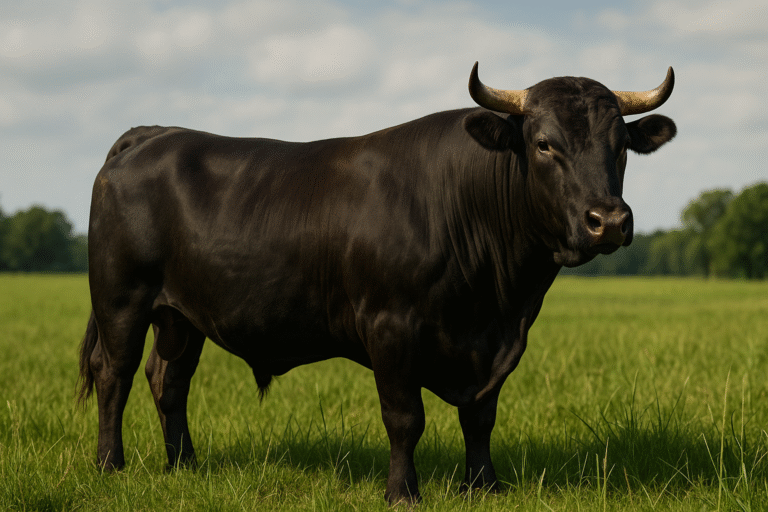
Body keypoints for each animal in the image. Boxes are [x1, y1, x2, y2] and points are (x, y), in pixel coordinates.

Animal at [78, 62, 676, 504]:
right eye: (545, 144)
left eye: (620, 145)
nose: (608, 220)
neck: (498, 297)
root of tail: (154, 134)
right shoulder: (390, 327)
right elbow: (405, 418)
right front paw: (402, 493)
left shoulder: (497, 345)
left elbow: (481, 417)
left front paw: (484, 486)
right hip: (122, 299)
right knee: (115, 374)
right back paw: (111, 466)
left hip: (182, 315)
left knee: (168, 379)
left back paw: (185, 466)